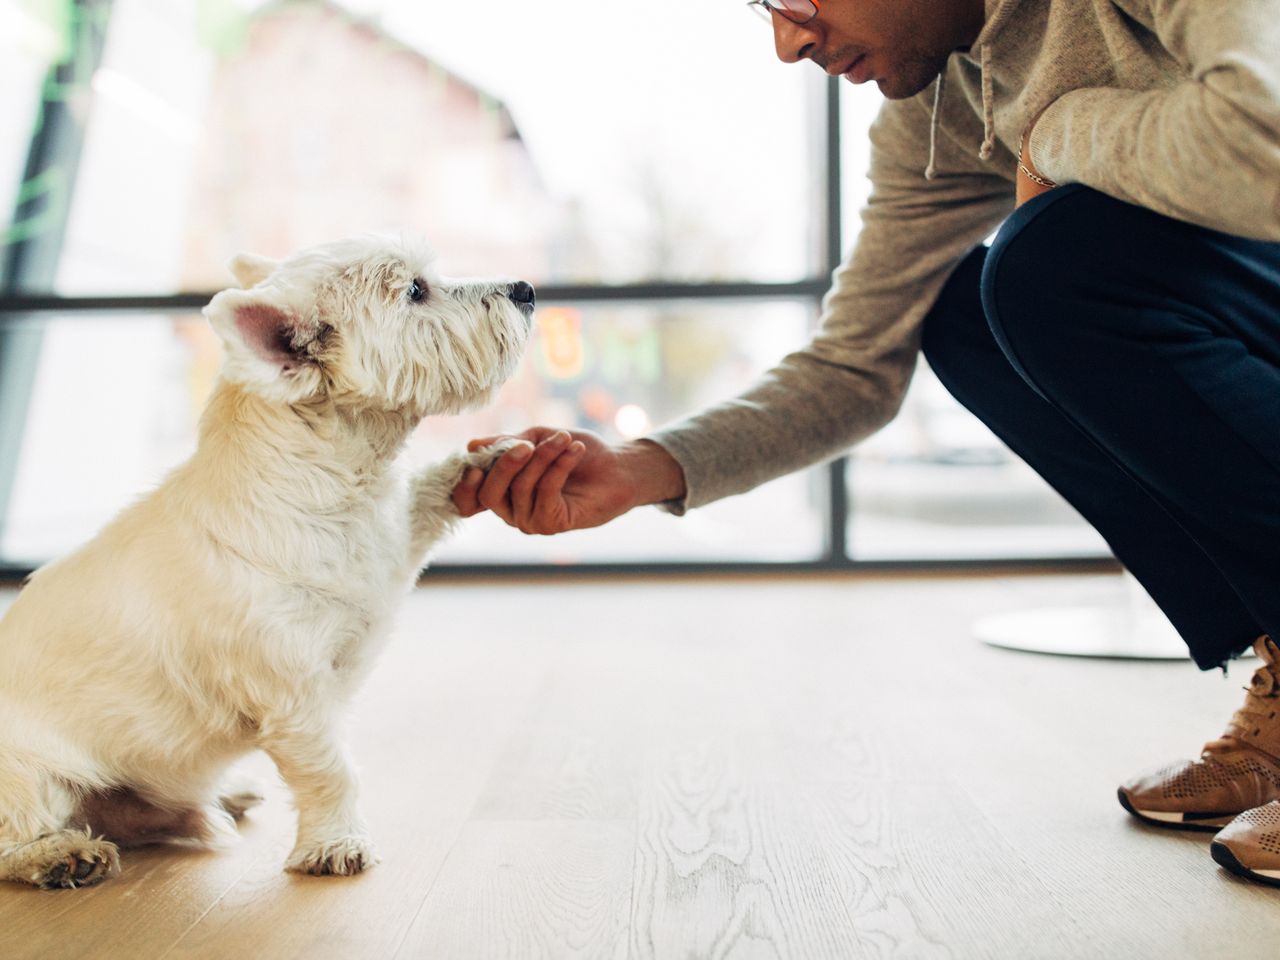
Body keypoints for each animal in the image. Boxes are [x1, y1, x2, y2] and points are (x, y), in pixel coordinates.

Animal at [0, 236, 535, 890]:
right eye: (414, 290)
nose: (526, 290)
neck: (338, 487)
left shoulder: (390, 547)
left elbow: (426, 498)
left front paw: (491, 461)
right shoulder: (292, 692)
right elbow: (330, 769)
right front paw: (336, 844)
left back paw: (218, 798)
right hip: (27, 770)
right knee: (17, 832)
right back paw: (61, 854)